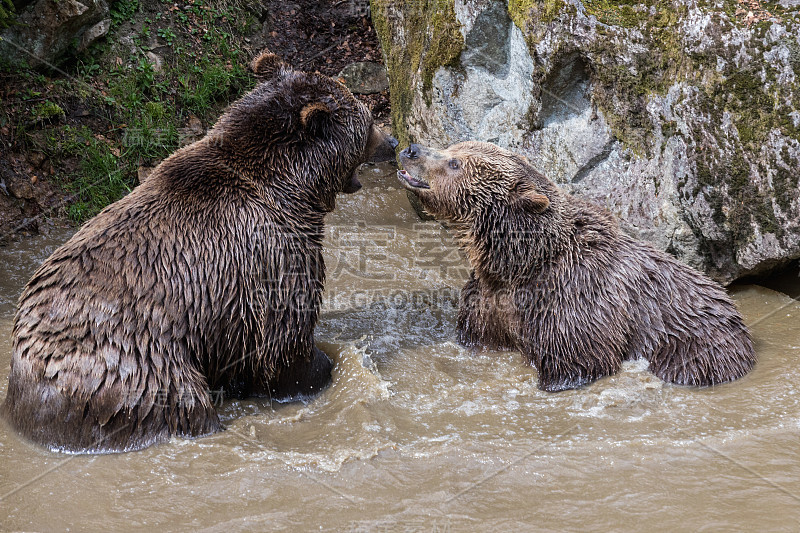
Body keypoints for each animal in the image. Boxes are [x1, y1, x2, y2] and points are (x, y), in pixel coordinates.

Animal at [0, 50, 400, 450]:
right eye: (367, 123)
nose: (393, 141)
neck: (294, 192)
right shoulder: (271, 256)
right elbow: (285, 341)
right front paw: (323, 365)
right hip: (139, 372)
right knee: (181, 404)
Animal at [398, 141, 756, 390]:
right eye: (453, 146)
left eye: (454, 162)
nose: (410, 149)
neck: (519, 263)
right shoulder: (488, 302)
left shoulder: (572, 300)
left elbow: (578, 361)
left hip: (693, 348)